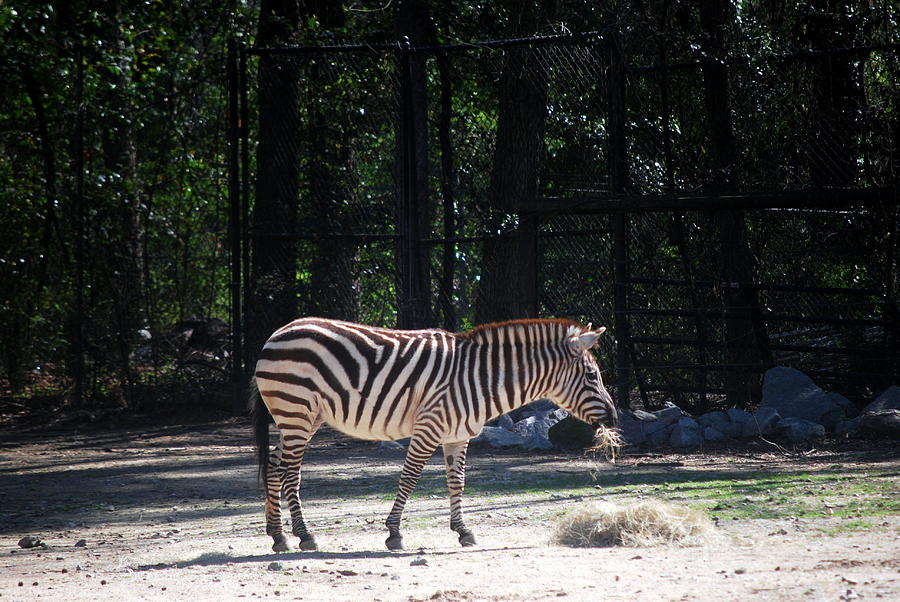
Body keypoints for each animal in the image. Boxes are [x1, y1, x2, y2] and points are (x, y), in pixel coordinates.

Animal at [253, 316, 620, 552]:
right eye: (592, 376)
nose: (615, 418)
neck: (480, 379)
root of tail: (278, 333)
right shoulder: (428, 427)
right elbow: (410, 477)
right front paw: (394, 533)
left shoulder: (458, 434)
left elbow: (457, 481)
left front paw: (463, 531)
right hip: (296, 410)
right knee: (289, 470)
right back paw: (305, 536)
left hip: (302, 416)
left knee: (273, 464)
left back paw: (278, 536)